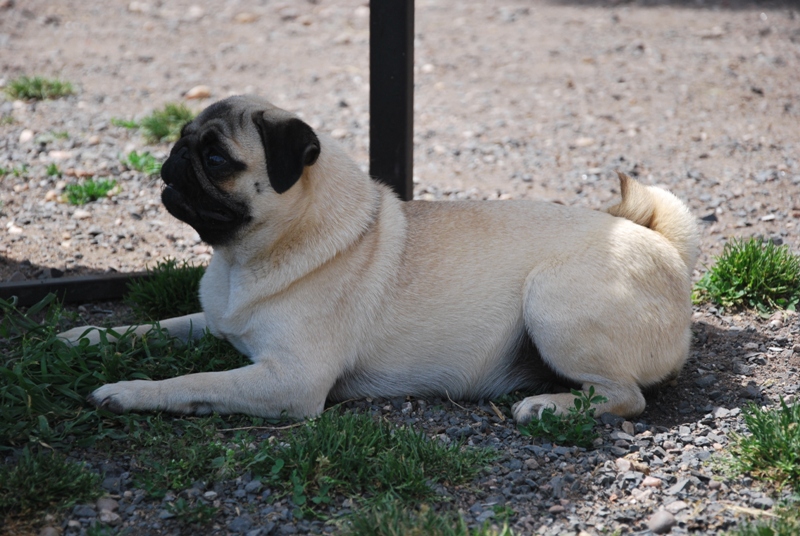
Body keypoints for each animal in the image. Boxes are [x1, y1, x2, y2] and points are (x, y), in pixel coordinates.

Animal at [56, 96, 696, 422]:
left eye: (215, 159)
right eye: (182, 138)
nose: (173, 160)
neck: (242, 260)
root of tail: (666, 248)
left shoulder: (290, 381)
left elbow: (191, 381)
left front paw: (127, 391)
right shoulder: (214, 321)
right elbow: (155, 327)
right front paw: (84, 336)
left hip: (553, 304)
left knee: (628, 398)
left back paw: (548, 406)